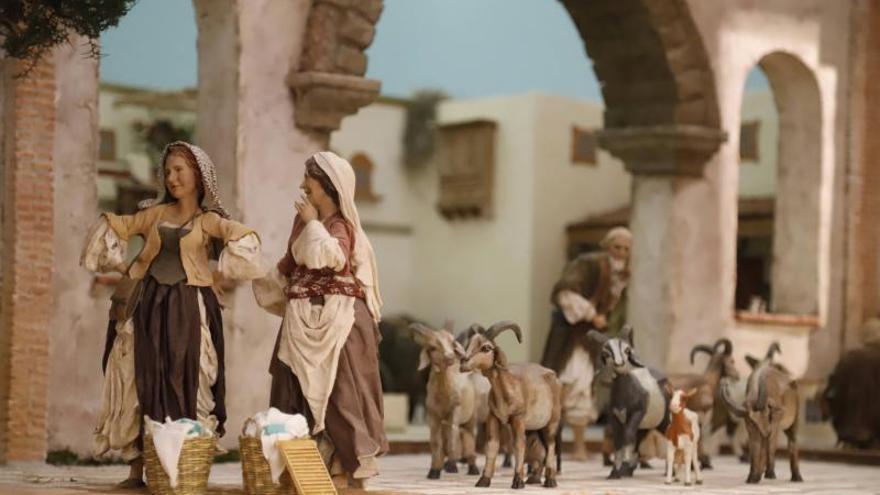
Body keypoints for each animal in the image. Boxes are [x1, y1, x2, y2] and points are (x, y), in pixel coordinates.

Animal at [410, 322, 485, 479]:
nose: (450, 357)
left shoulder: (455, 411)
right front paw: (434, 471)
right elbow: (435, 441)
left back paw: (473, 469)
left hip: (471, 417)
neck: (443, 394)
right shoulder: (433, 415)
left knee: (469, 437)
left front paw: (451, 467)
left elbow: (452, 436)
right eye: (432, 347)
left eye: (452, 343)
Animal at [461, 321, 562, 489]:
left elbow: (518, 445)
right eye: (469, 344)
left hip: (551, 422)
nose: (463, 362)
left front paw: (518, 482)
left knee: (551, 445)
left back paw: (550, 481)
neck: (507, 386)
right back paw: (534, 478)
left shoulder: (518, 419)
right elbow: (492, 446)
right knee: (542, 447)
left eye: (486, 348)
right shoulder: (493, 418)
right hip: (536, 428)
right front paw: (483, 480)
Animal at [586, 326, 672, 479]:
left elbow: (627, 436)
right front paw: (615, 473)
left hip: (664, 420)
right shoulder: (614, 417)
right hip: (644, 426)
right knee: (638, 440)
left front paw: (620, 470)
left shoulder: (637, 412)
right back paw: (629, 471)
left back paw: (670, 472)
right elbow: (619, 441)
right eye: (605, 353)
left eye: (627, 350)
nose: (619, 364)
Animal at [669, 338, 741, 468]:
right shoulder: (701, 412)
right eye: (731, 360)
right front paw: (704, 462)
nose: (737, 375)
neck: (708, 382)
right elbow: (700, 434)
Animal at [720, 342, 803, 484]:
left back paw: (796, 478)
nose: (724, 381)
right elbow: (756, 445)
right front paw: (754, 477)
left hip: (795, 419)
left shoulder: (775, 420)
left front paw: (769, 474)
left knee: (792, 440)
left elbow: (771, 442)